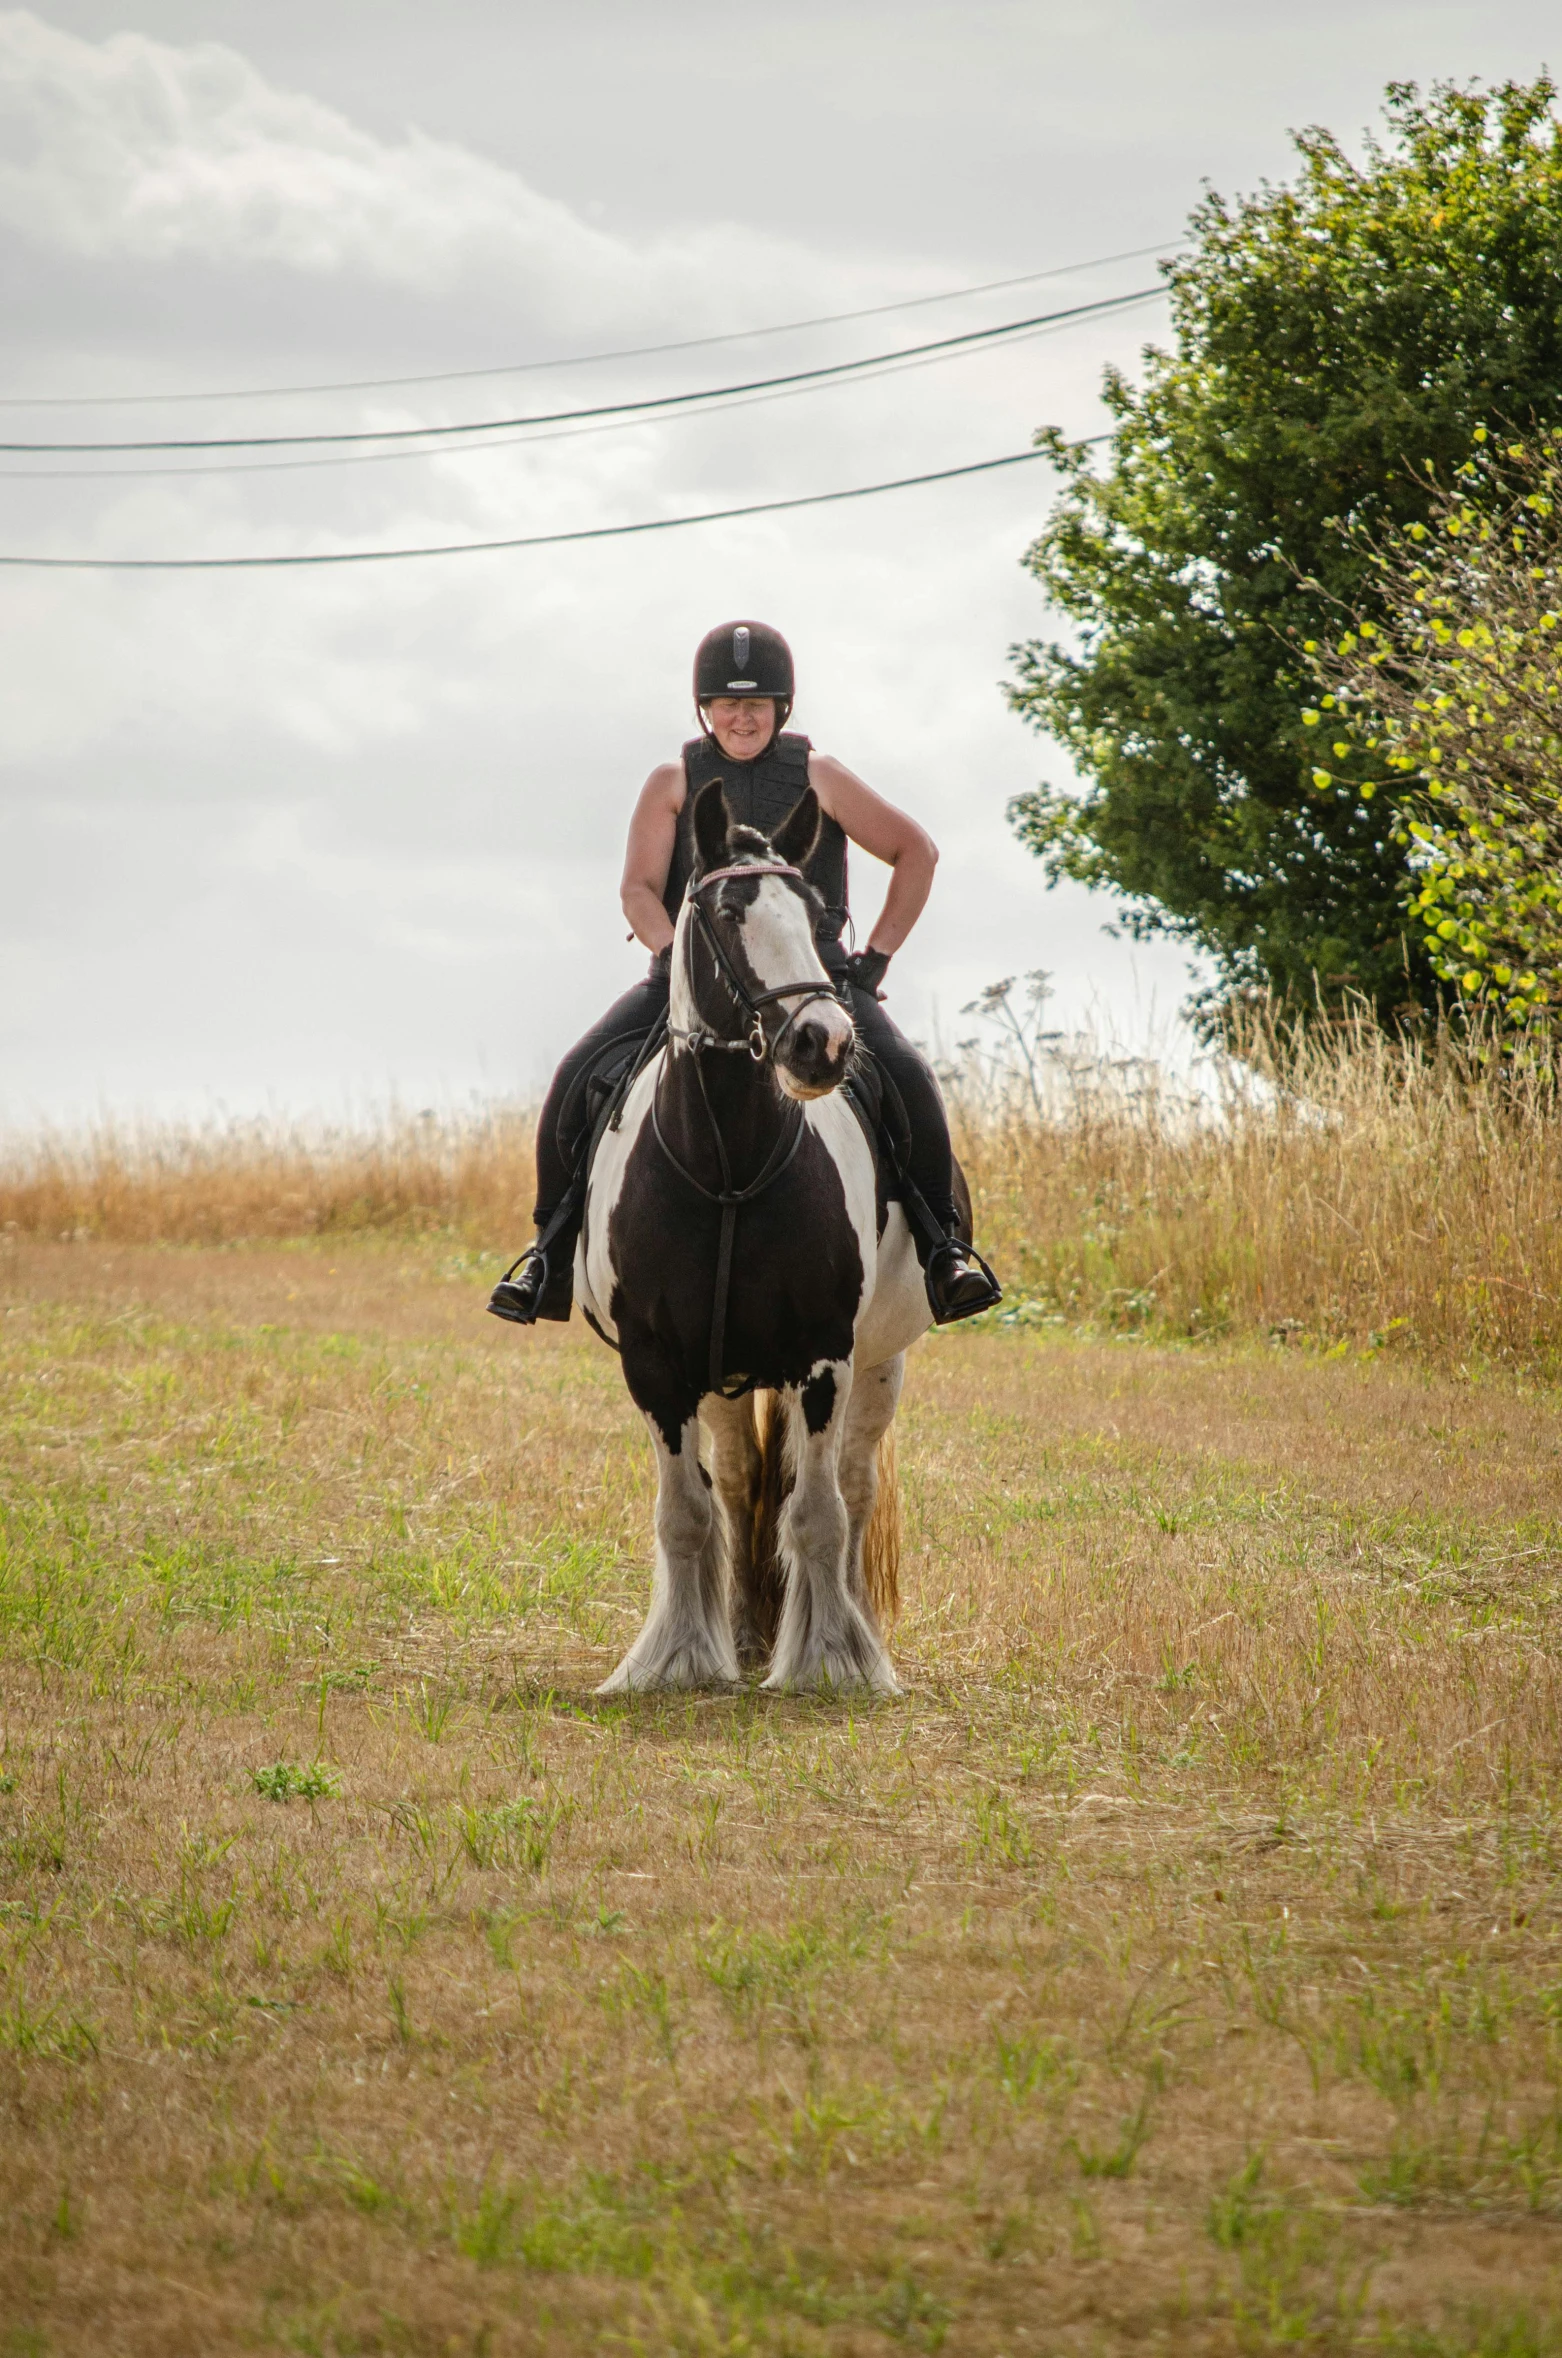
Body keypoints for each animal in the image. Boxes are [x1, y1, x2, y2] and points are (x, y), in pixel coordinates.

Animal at [585, 782, 929, 1688]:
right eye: (724, 913)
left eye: (817, 916)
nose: (823, 1041)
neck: (729, 1166)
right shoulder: (657, 1364)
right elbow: (687, 1511)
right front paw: (679, 1658)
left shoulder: (824, 1356)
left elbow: (819, 1514)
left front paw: (833, 1660)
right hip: (723, 1380)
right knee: (740, 1486)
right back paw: (743, 1630)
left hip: (880, 1364)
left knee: (854, 1486)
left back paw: (857, 1625)